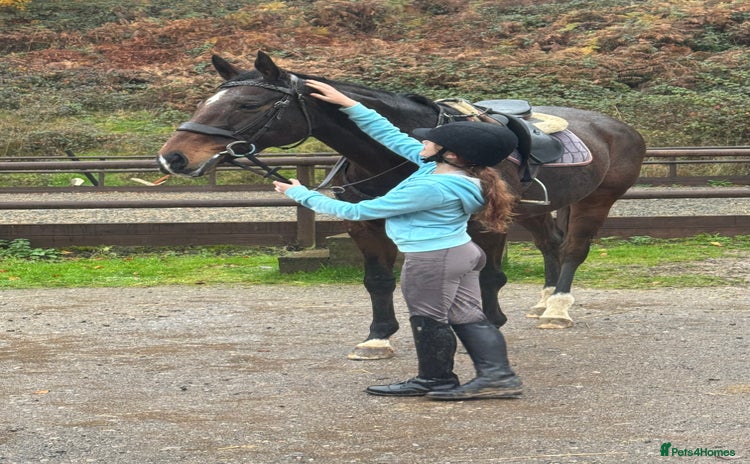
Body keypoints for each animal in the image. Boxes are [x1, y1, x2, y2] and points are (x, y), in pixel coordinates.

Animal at [158, 51, 646, 360]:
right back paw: (545, 303)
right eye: (205, 101)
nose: (174, 157)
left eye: (248, 103)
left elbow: (488, 277)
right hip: (535, 209)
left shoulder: (486, 226)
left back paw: (559, 309)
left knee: (573, 249)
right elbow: (378, 281)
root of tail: (617, 126)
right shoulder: (367, 226)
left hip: (596, 201)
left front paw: (487, 326)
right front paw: (378, 338)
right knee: (552, 244)